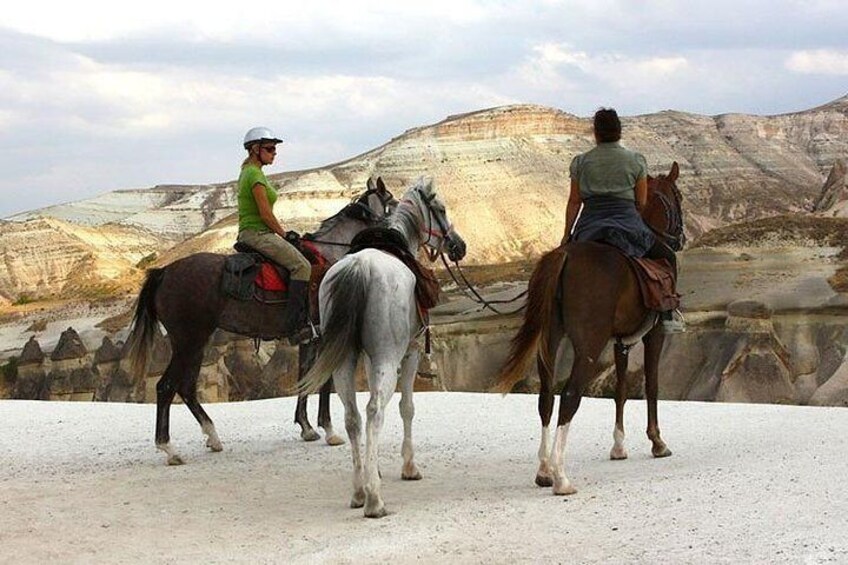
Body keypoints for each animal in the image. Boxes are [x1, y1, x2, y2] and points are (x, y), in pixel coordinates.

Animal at [126, 178, 398, 464]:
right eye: (391, 201)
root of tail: (164, 272)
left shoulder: (309, 339)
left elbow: (304, 378)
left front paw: (306, 427)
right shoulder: (328, 336)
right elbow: (325, 382)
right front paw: (329, 430)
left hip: (196, 342)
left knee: (186, 387)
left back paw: (212, 436)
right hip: (189, 340)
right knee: (166, 386)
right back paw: (169, 448)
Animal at [302, 176, 468, 516]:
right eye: (442, 208)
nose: (459, 246)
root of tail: (359, 269)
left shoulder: (367, 358)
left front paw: (372, 469)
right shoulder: (412, 352)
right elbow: (407, 407)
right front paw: (408, 467)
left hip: (344, 362)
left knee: (353, 416)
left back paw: (358, 491)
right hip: (388, 360)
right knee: (374, 410)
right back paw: (374, 500)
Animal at [496, 160, 684, 494]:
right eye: (680, 197)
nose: (681, 238)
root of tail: (563, 256)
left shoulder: (622, 341)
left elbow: (620, 388)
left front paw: (619, 446)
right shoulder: (654, 335)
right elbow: (651, 385)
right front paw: (657, 442)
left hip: (550, 339)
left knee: (546, 397)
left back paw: (544, 471)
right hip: (589, 345)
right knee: (570, 395)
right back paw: (561, 477)